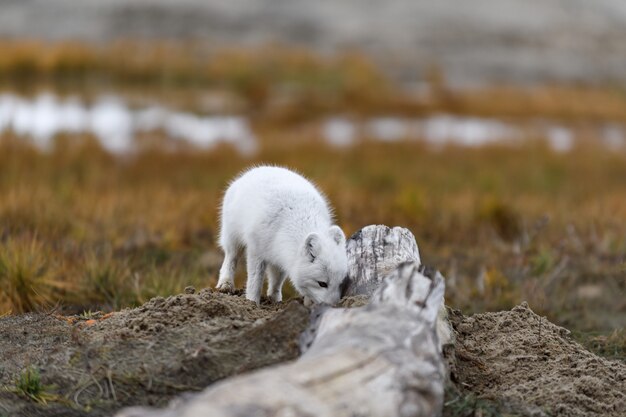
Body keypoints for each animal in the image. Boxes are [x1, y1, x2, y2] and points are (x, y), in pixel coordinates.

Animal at [217, 164, 348, 304]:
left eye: (340, 283)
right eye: (322, 283)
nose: (335, 305)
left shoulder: (282, 257)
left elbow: (277, 280)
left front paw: (279, 301)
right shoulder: (256, 251)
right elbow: (254, 282)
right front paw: (252, 302)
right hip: (232, 237)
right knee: (230, 259)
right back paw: (225, 284)